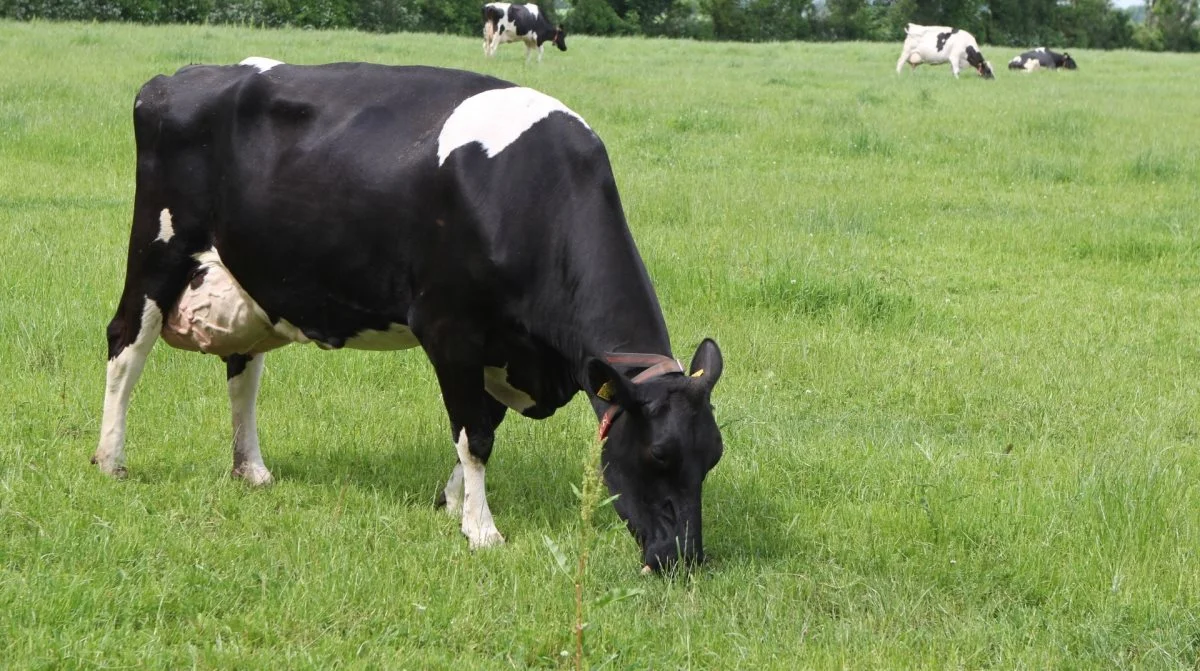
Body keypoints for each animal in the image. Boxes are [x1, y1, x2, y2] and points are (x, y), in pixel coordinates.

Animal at [91, 57, 720, 576]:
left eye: (712, 458)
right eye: (657, 456)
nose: (683, 560)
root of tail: (175, 78)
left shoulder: (503, 349)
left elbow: (484, 423)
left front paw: (455, 503)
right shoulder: (450, 329)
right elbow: (475, 436)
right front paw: (481, 529)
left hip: (250, 277)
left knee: (242, 371)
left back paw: (251, 469)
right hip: (158, 248)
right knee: (126, 346)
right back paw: (110, 460)